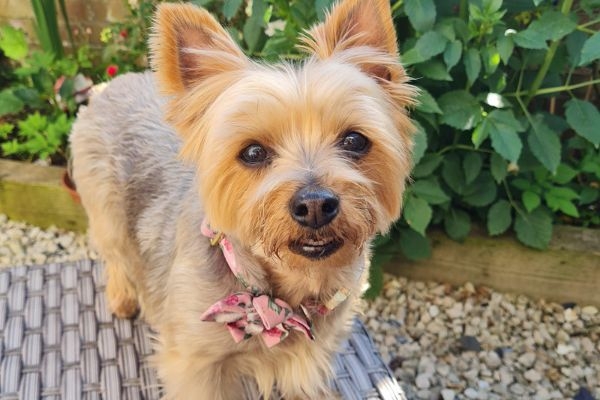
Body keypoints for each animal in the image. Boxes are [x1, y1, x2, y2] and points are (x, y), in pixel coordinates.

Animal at [70, 0, 414, 396]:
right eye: (252, 152)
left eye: (355, 140)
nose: (314, 204)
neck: (285, 295)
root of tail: (109, 84)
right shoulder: (195, 365)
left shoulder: (309, 357)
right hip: (105, 209)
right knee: (115, 255)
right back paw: (123, 298)